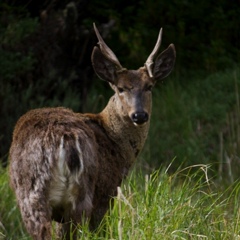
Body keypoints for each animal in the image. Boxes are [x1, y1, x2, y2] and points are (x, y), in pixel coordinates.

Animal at [8, 23, 175, 240]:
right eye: (121, 88)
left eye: (149, 86)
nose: (139, 115)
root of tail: (65, 140)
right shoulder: (107, 189)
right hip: (76, 194)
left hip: (39, 196)